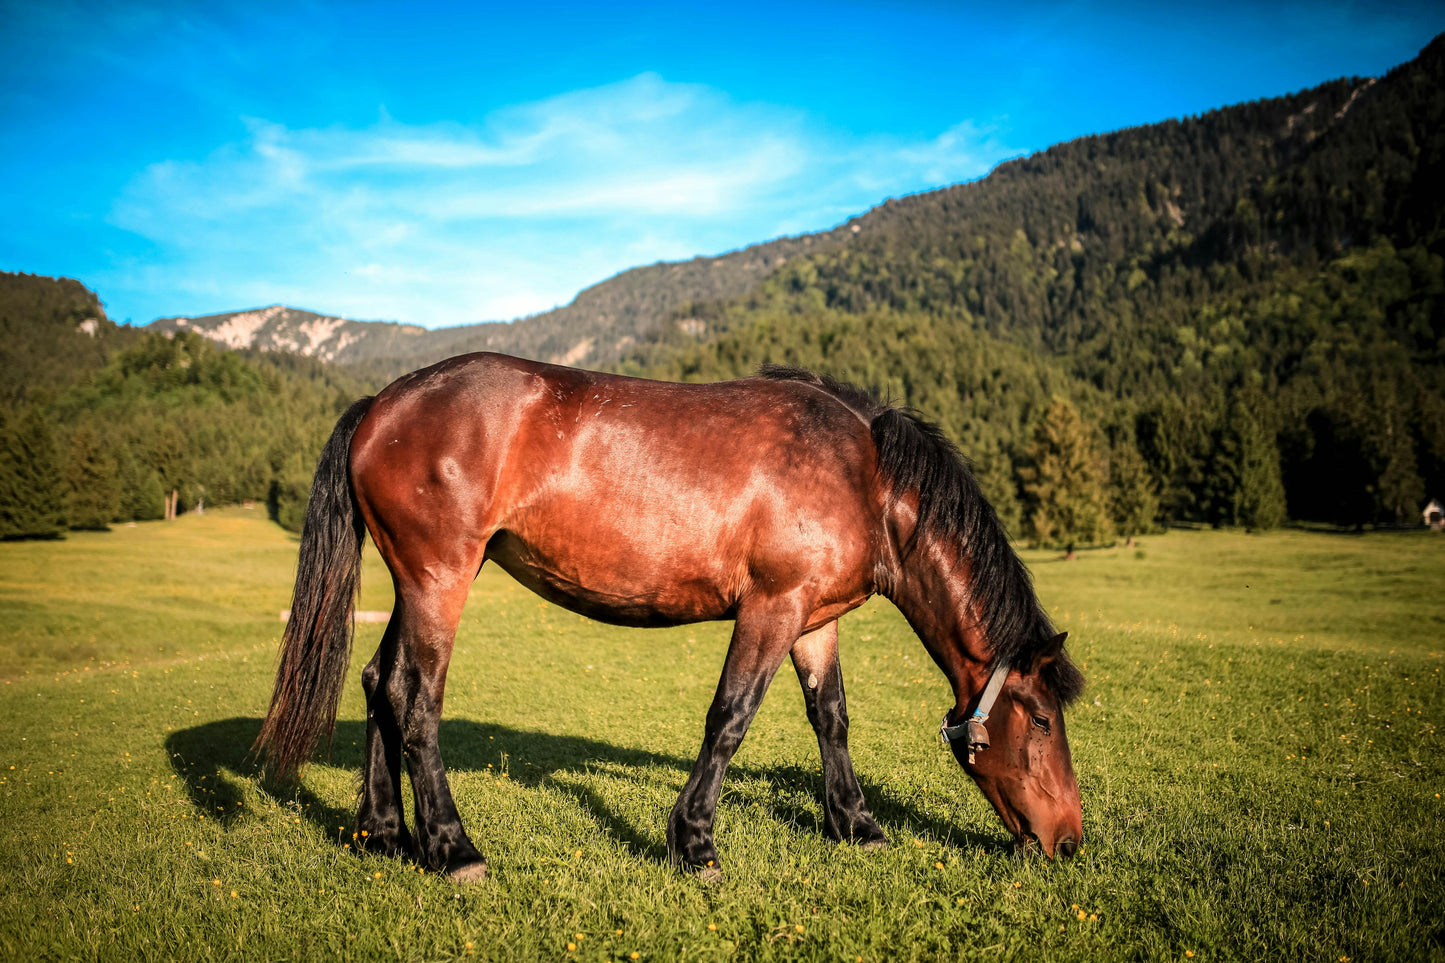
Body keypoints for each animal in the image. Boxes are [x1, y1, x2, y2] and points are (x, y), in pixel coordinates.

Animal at [255, 353, 1084, 882]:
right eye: (1042, 719)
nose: (1069, 841)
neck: (863, 472)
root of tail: (383, 402)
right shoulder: (771, 607)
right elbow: (730, 717)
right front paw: (694, 843)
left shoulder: (814, 618)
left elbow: (831, 717)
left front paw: (856, 823)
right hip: (439, 579)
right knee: (416, 699)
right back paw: (452, 847)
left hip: (416, 582)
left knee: (378, 681)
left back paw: (383, 832)